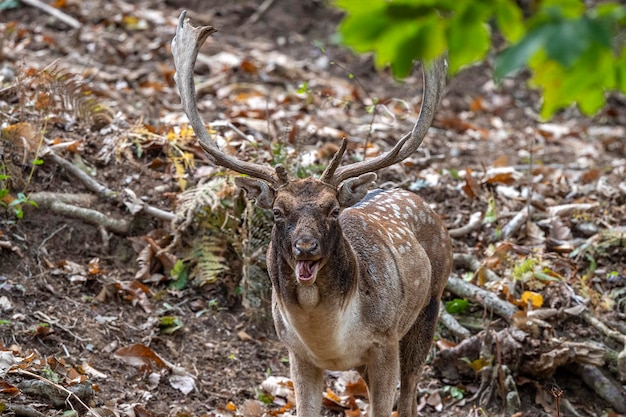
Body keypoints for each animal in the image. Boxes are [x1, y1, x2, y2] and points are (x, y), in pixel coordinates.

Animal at [173, 11, 450, 416]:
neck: (329, 340)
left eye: (333, 210)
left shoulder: (384, 340)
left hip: (429, 307)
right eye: (276, 211)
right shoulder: (296, 352)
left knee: (411, 394)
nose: (306, 247)